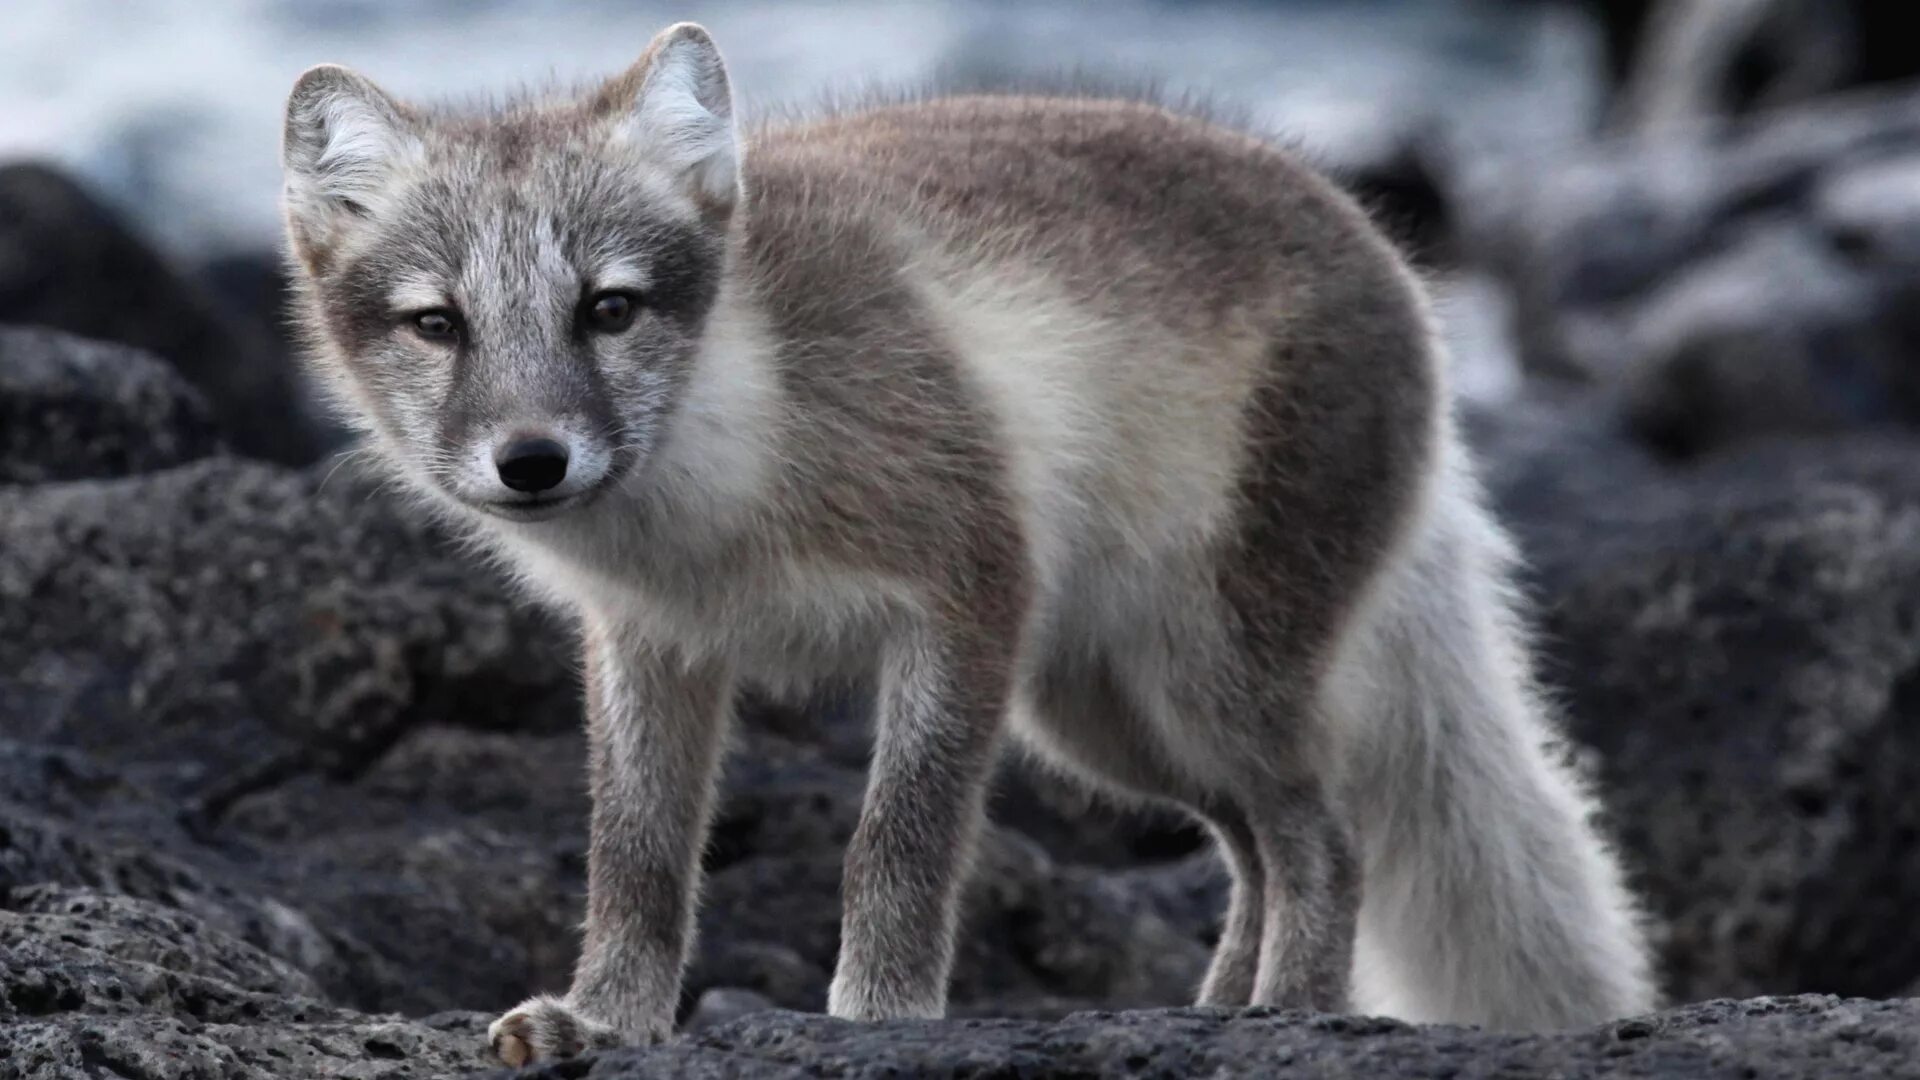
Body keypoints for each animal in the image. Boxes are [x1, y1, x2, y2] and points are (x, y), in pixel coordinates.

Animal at [280, 21, 1651, 1060]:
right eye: (438, 324)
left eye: (609, 308)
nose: (532, 460)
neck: (720, 480)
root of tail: (1397, 265)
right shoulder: (651, 648)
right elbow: (638, 857)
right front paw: (607, 1020)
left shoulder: (969, 593)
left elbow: (899, 840)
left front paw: (877, 1017)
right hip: (1106, 717)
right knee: (1255, 843)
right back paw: (1222, 1017)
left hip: (1208, 673)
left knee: (1326, 837)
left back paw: (1294, 1019)